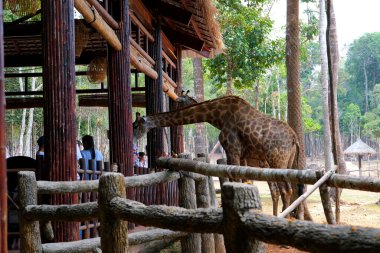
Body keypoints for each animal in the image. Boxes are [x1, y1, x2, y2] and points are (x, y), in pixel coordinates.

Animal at [132, 96, 304, 216]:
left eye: (135, 125)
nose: (132, 139)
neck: (218, 117)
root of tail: (295, 139)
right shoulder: (242, 155)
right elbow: (245, 182)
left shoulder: (232, 150)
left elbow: (235, 180)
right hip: (286, 162)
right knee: (287, 190)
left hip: (276, 161)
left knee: (285, 190)